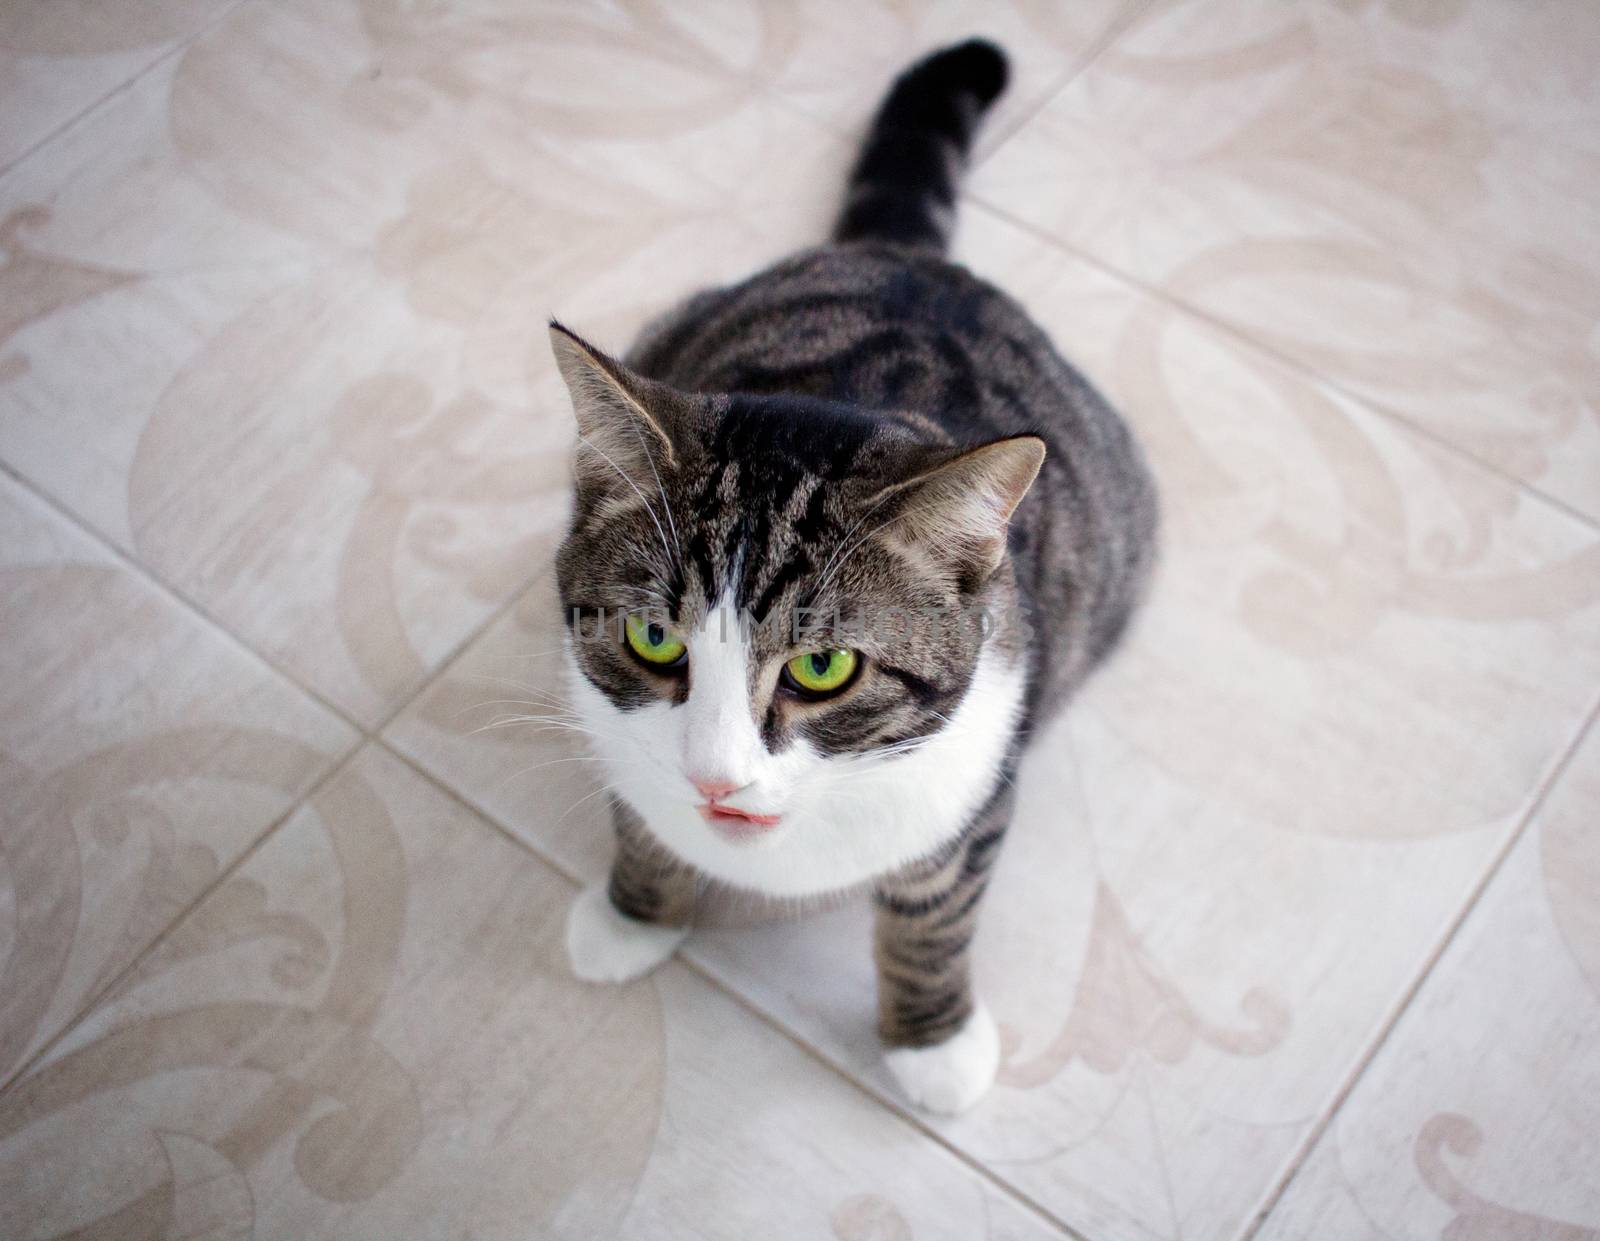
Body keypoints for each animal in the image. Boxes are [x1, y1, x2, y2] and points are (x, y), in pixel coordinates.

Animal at [547, 38, 1152, 1113]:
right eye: (653, 638)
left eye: (822, 668)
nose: (716, 778)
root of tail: (908, 262)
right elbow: (639, 817)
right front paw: (633, 915)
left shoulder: (982, 771)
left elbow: (935, 913)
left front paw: (933, 1042)